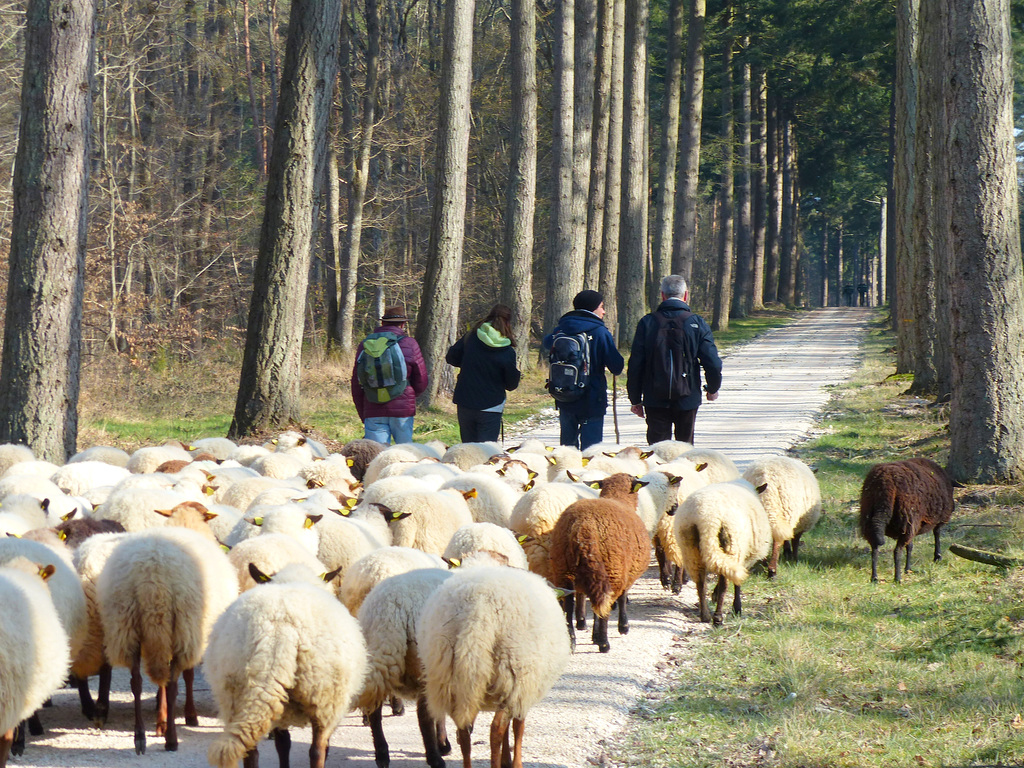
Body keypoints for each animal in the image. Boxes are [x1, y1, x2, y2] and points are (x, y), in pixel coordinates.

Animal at [96, 528, 238, 753]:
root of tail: (152, 578)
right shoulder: (190, 635)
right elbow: (186, 677)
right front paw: (189, 716)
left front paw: (160, 722)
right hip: (182, 627)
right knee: (172, 685)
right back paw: (171, 739)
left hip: (126, 625)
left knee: (136, 682)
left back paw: (140, 737)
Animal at [204, 561, 368, 768]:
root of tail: (279, 629)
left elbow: (283, 744)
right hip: (324, 693)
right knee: (317, 750)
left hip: (236, 692)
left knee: (251, 752)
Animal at [417, 565, 577, 768]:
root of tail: (479, 610)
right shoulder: (524, 690)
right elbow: (517, 726)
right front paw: (514, 762)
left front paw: (506, 759)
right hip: (514, 670)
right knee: (496, 729)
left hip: (451, 672)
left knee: (464, 730)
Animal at [552, 473, 647, 651]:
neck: (618, 497)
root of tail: (584, 525)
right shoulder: (626, 573)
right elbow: (622, 598)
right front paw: (623, 627)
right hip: (612, 569)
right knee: (605, 604)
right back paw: (604, 643)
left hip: (563, 569)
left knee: (568, 605)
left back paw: (572, 641)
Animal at [671, 481, 770, 626]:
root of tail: (706, 519)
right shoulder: (742, 556)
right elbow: (736, 583)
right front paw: (736, 608)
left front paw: (715, 595)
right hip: (731, 545)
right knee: (724, 583)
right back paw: (718, 617)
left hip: (690, 547)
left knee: (701, 582)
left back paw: (705, 615)